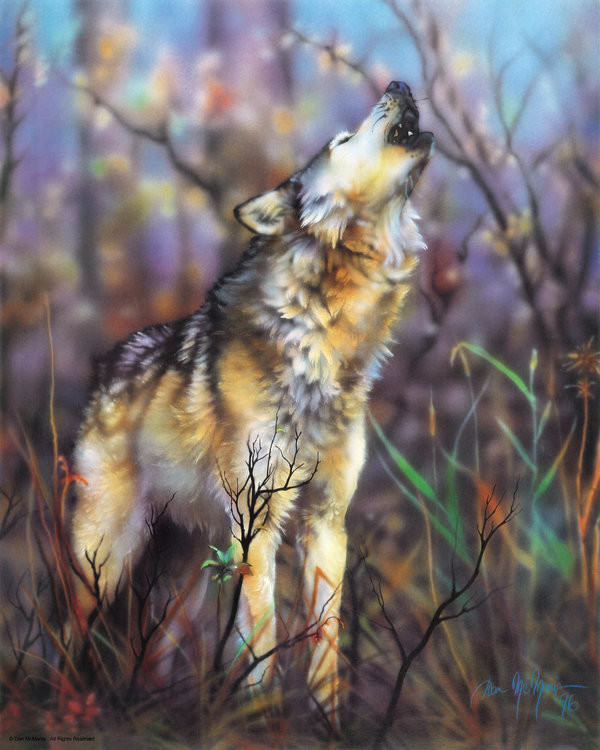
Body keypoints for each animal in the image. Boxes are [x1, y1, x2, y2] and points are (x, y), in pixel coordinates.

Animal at [71, 80, 434, 718]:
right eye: (342, 140)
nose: (399, 85)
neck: (325, 338)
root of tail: (107, 364)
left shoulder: (327, 521)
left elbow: (324, 637)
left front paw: (325, 721)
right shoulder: (259, 525)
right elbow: (261, 631)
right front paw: (258, 717)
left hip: (186, 574)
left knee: (154, 648)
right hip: (107, 557)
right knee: (68, 633)